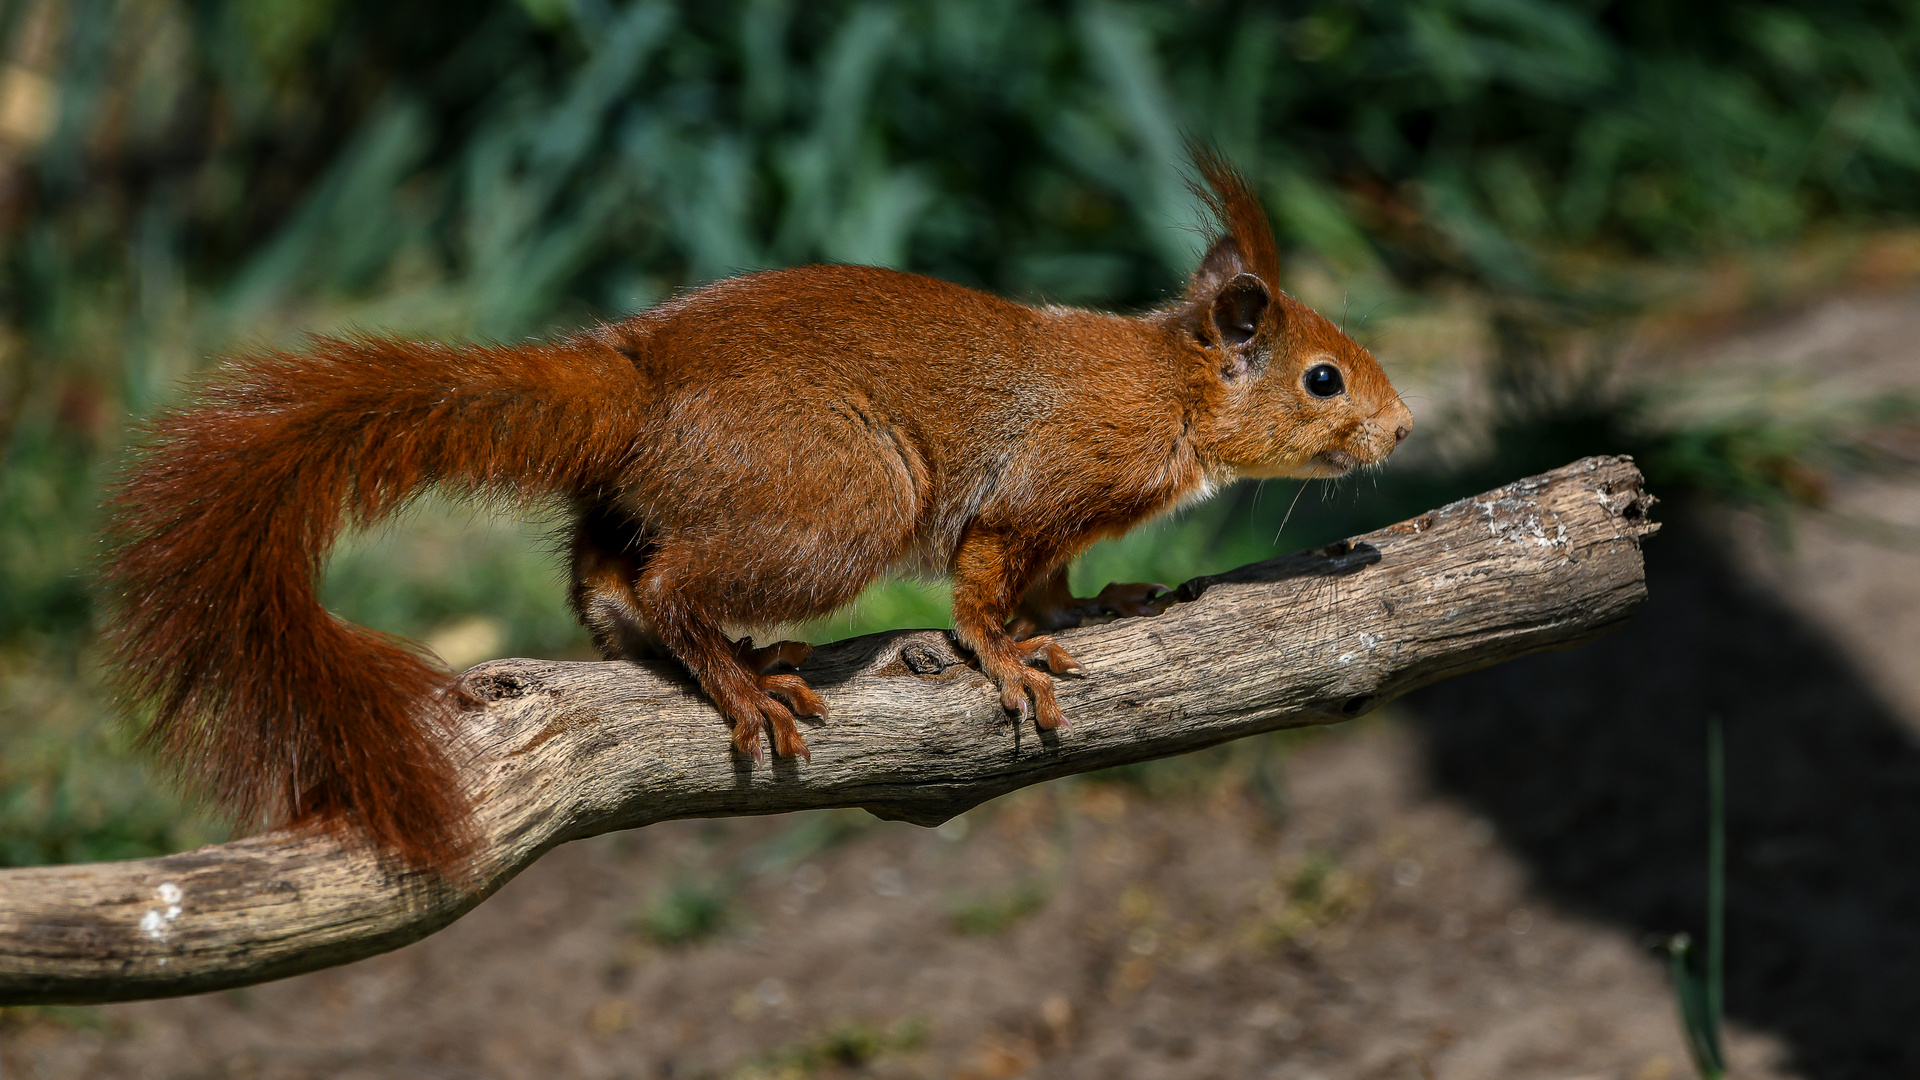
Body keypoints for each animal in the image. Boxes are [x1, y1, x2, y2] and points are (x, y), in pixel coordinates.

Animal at [101, 148, 1413, 864]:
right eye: (1324, 379)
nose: (1402, 429)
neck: (1166, 389)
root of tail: (637, 384)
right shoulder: (1041, 485)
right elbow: (985, 587)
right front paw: (1011, 661)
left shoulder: (1065, 519)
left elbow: (1050, 581)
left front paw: (1098, 606)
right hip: (846, 499)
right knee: (665, 582)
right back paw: (738, 683)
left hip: (654, 502)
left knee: (605, 582)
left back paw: (730, 652)